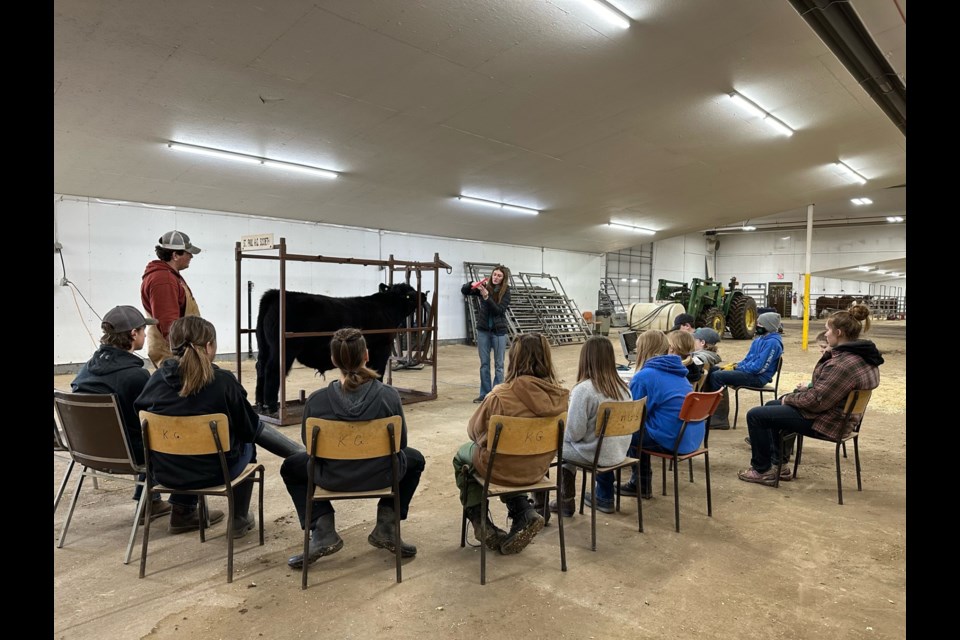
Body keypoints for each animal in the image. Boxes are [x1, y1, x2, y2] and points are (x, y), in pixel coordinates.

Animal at [255, 282, 424, 412]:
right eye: (408, 295)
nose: (423, 294)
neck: (386, 307)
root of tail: (275, 294)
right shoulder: (381, 347)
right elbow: (378, 371)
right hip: (283, 349)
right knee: (272, 369)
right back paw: (271, 406)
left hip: (264, 347)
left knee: (261, 367)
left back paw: (259, 404)